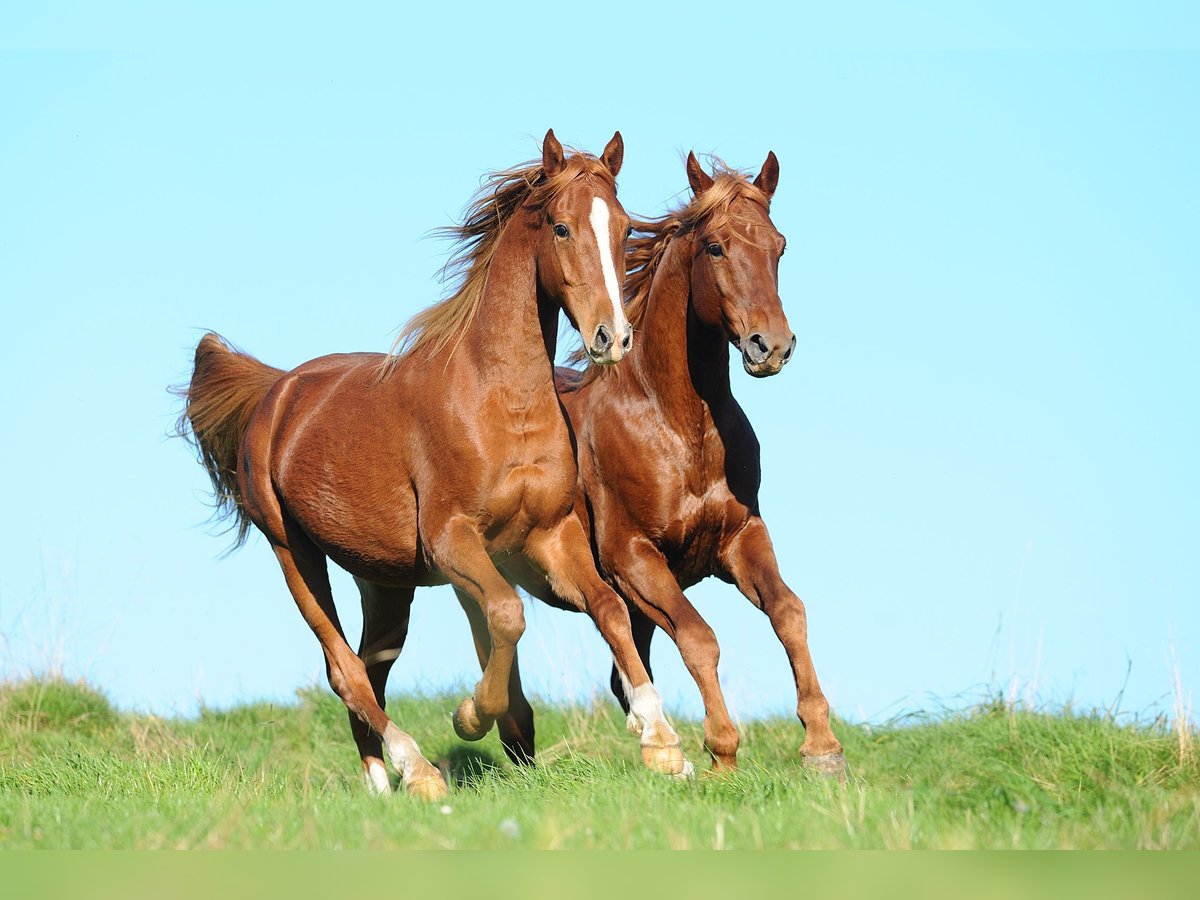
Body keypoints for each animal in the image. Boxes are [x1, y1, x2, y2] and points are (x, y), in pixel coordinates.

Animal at [172, 130, 691, 801]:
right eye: (560, 227)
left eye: (626, 228)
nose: (613, 338)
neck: (501, 402)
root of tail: (276, 389)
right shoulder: (452, 541)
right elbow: (507, 616)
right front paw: (471, 715)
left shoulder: (551, 535)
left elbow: (610, 608)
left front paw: (662, 741)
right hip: (292, 551)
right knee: (343, 669)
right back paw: (416, 769)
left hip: (384, 580)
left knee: (371, 668)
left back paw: (382, 783)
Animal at [446, 151, 849, 777]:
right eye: (715, 247)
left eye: (780, 246)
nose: (771, 346)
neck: (680, 429)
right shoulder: (633, 559)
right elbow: (700, 637)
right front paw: (721, 752)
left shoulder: (741, 538)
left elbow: (789, 612)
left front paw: (821, 748)